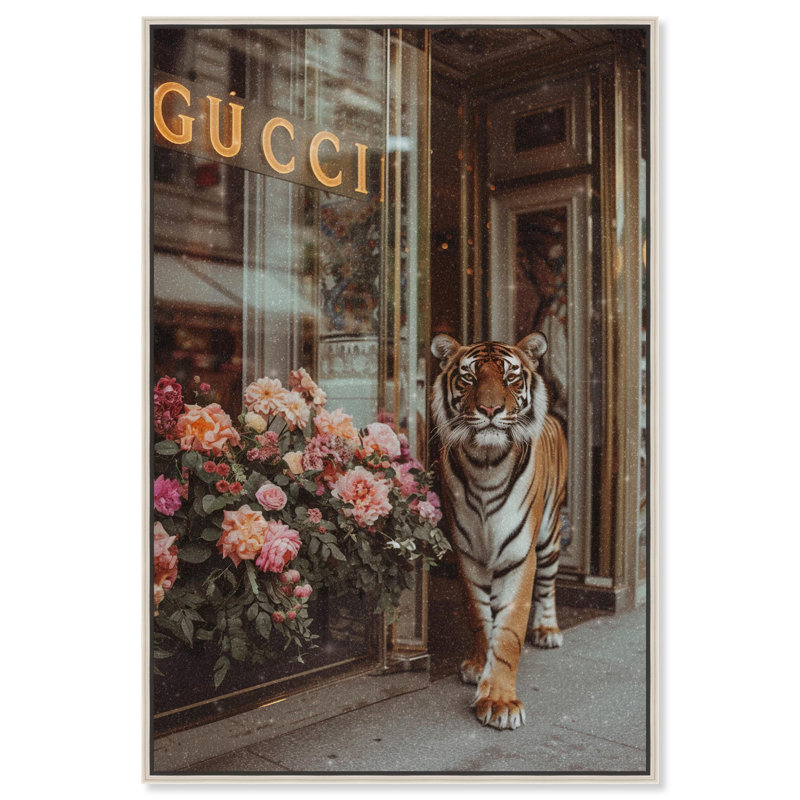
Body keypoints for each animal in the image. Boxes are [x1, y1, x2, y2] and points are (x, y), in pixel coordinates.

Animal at [431, 332, 568, 730]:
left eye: (510, 377)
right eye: (469, 377)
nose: (490, 410)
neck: (486, 463)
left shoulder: (520, 556)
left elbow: (508, 632)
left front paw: (499, 702)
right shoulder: (468, 554)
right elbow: (480, 617)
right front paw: (479, 666)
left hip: (550, 535)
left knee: (548, 586)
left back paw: (548, 630)